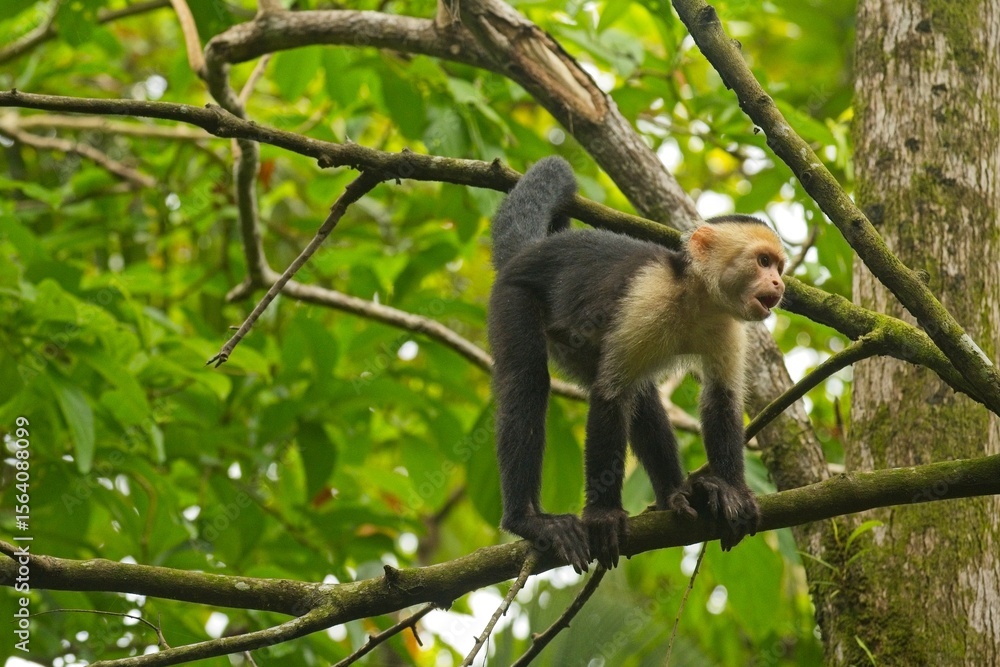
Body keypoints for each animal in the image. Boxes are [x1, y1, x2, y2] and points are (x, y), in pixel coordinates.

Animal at [487, 156, 786, 573]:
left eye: (779, 267)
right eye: (762, 261)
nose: (779, 285)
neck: (694, 296)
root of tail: (530, 251)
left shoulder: (727, 323)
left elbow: (721, 398)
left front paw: (732, 491)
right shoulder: (647, 295)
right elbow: (610, 395)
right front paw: (602, 515)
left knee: (642, 397)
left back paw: (679, 495)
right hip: (513, 294)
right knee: (527, 381)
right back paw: (527, 520)